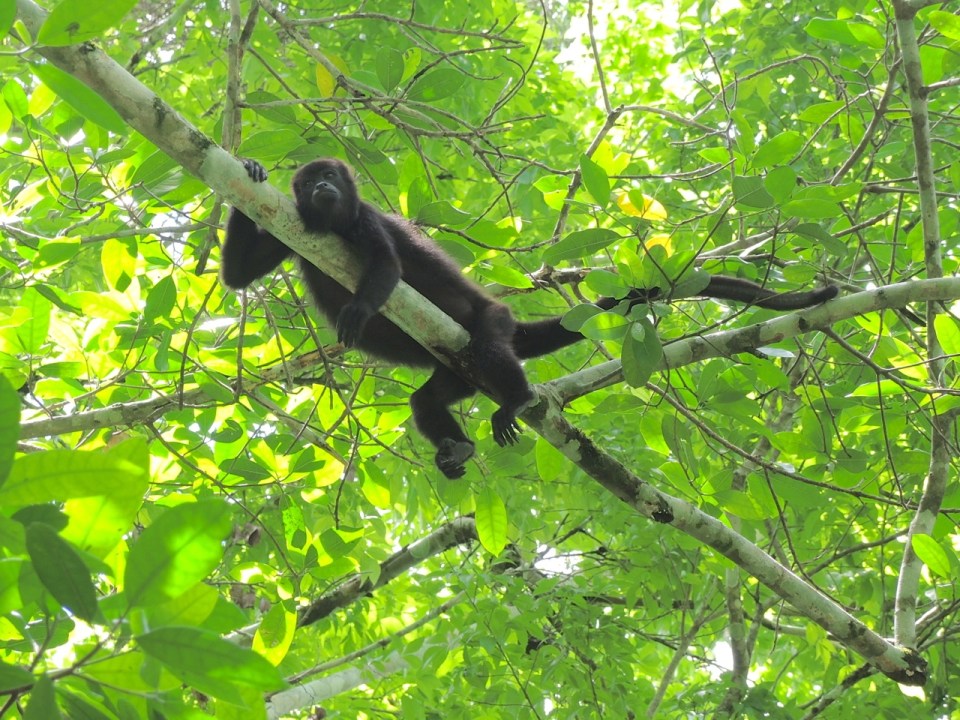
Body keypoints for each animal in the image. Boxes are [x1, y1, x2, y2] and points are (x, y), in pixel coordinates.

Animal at [221, 158, 837, 479]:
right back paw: (457, 448)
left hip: (491, 318)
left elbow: (388, 266)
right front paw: (247, 171)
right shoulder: (290, 227)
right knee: (426, 401)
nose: (323, 185)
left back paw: (515, 401)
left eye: (331, 179)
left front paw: (357, 311)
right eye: (308, 183)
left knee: (493, 349)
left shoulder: (364, 217)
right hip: (454, 371)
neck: (329, 222)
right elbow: (237, 276)